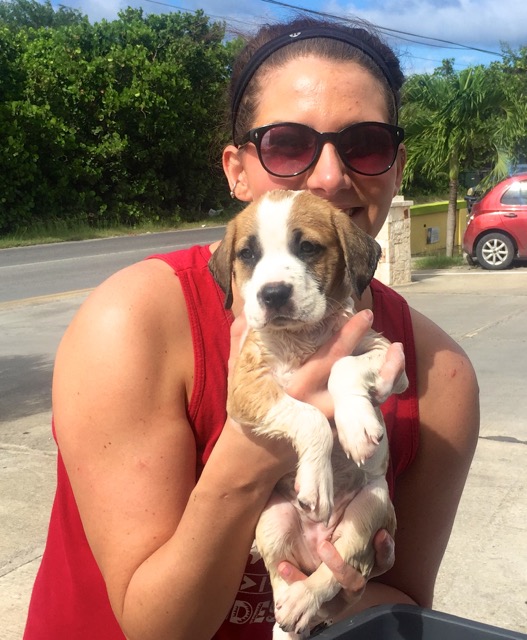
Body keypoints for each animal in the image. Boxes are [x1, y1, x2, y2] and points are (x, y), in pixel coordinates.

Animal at [208, 190, 410, 640]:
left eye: (308, 248)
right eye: (248, 254)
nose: (273, 294)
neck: (300, 337)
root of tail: (315, 548)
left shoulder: (389, 357)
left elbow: (344, 366)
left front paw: (356, 427)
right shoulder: (246, 389)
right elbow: (310, 416)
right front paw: (317, 482)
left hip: (373, 505)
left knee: (337, 570)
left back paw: (305, 600)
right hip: (272, 518)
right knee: (281, 577)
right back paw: (290, 610)